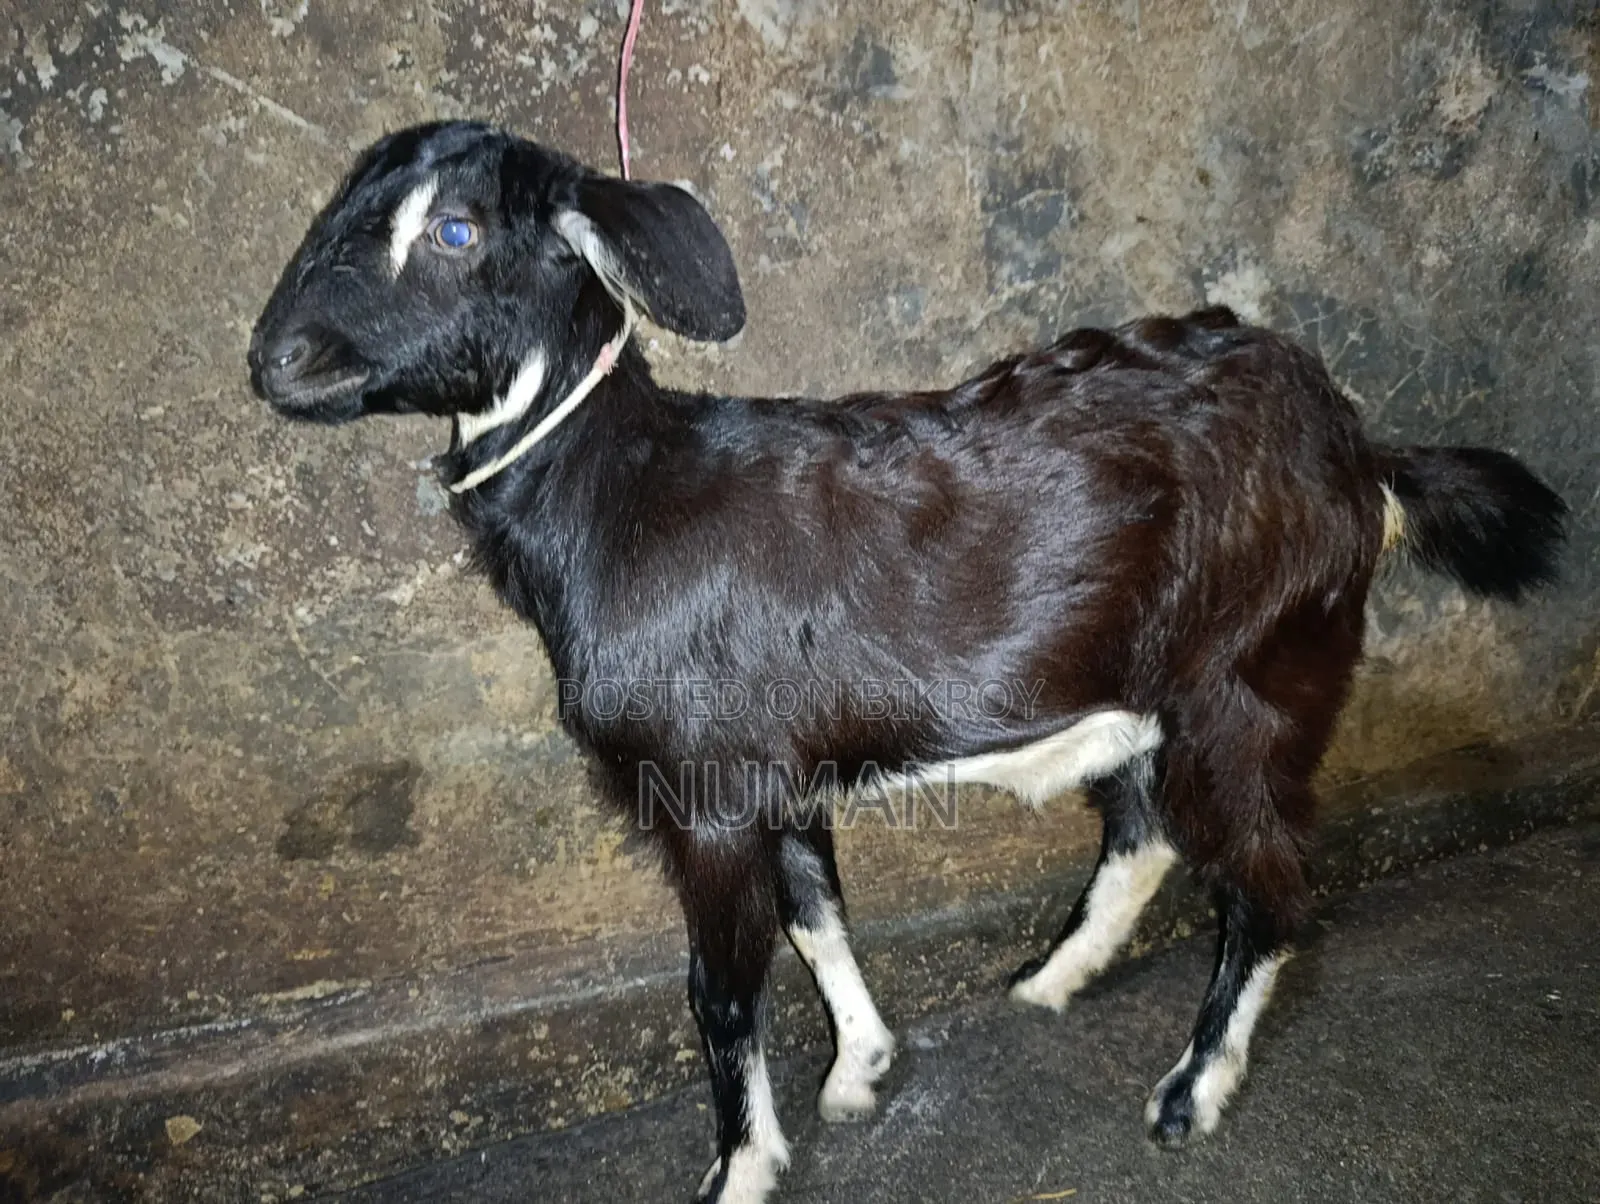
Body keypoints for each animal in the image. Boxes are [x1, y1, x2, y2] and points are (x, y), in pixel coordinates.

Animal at [247, 121, 1567, 1204]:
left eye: (455, 230)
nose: (277, 360)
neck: (623, 503)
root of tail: (1362, 454)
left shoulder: (703, 785)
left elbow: (722, 988)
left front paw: (740, 1170)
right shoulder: (776, 771)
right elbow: (819, 913)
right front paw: (861, 1068)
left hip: (1254, 676)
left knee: (1270, 882)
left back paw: (1190, 1092)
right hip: (1154, 688)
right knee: (1145, 832)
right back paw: (1049, 979)